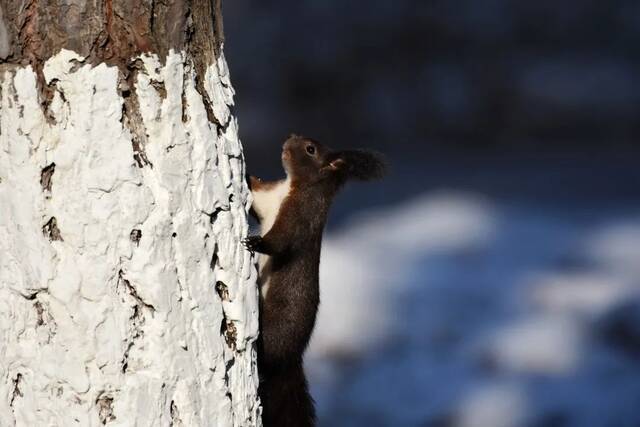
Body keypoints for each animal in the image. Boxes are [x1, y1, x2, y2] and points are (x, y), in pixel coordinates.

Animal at [244, 135, 384, 427]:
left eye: (311, 149)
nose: (288, 139)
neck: (291, 186)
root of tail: (292, 359)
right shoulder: (266, 199)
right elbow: (255, 192)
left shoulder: (301, 216)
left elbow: (281, 241)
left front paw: (256, 242)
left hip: (276, 327)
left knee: (266, 353)